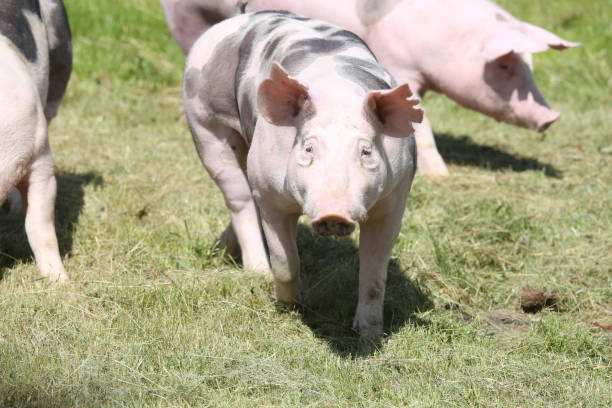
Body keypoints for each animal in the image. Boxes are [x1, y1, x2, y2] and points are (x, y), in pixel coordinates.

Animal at [159, 0, 580, 175]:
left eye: (529, 64)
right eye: (506, 64)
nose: (553, 116)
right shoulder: (398, 64)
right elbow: (422, 127)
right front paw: (441, 175)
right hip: (186, 18)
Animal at [182, 11, 424, 338]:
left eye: (366, 151)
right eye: (309, 147)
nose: (334, 214)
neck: (338, 97)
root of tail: (237, 19)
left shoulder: (395, 199)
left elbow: (374, 273)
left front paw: (368, 333)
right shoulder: (270, 195)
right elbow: (285, 261)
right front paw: (289, 307)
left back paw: (221, 251)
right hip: (204, 123)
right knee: (240, 197)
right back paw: (256, 270)